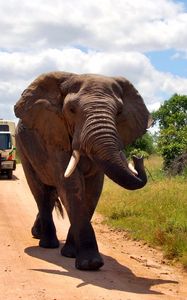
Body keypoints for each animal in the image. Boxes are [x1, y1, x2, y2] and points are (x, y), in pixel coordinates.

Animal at [14, 71, 152, 270]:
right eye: (71, 110)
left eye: (119, 112)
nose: (137, 158)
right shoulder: (56, 135)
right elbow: (72, 186)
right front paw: (90, 264)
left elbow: (93, 190)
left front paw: (71, 254)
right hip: (23, 149)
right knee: (41, 193)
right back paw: (47, 244)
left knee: (51, 194)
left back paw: (39, 235)